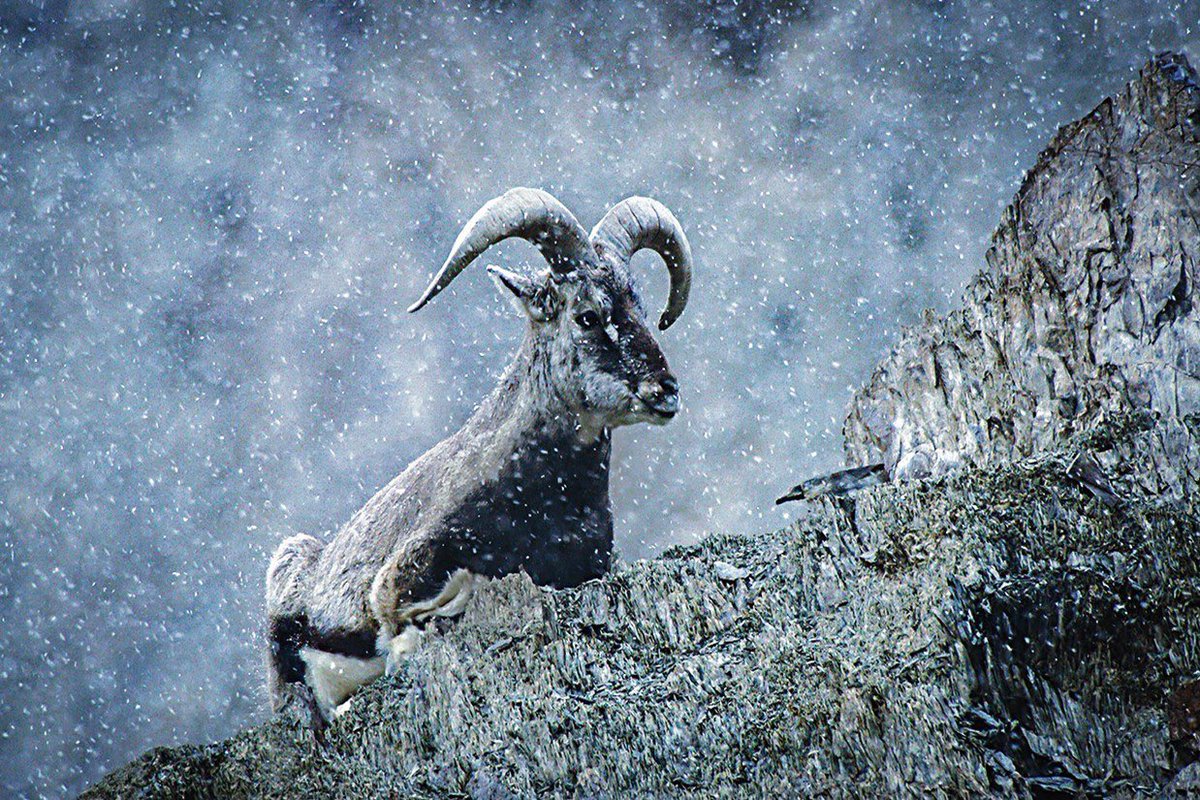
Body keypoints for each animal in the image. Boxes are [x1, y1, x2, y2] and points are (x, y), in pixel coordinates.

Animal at [265, 188, 693, 721]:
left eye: (641, 306)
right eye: (588, 315)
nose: (666, 389)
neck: (543, 501)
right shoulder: (400, 576)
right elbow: (415, 614)